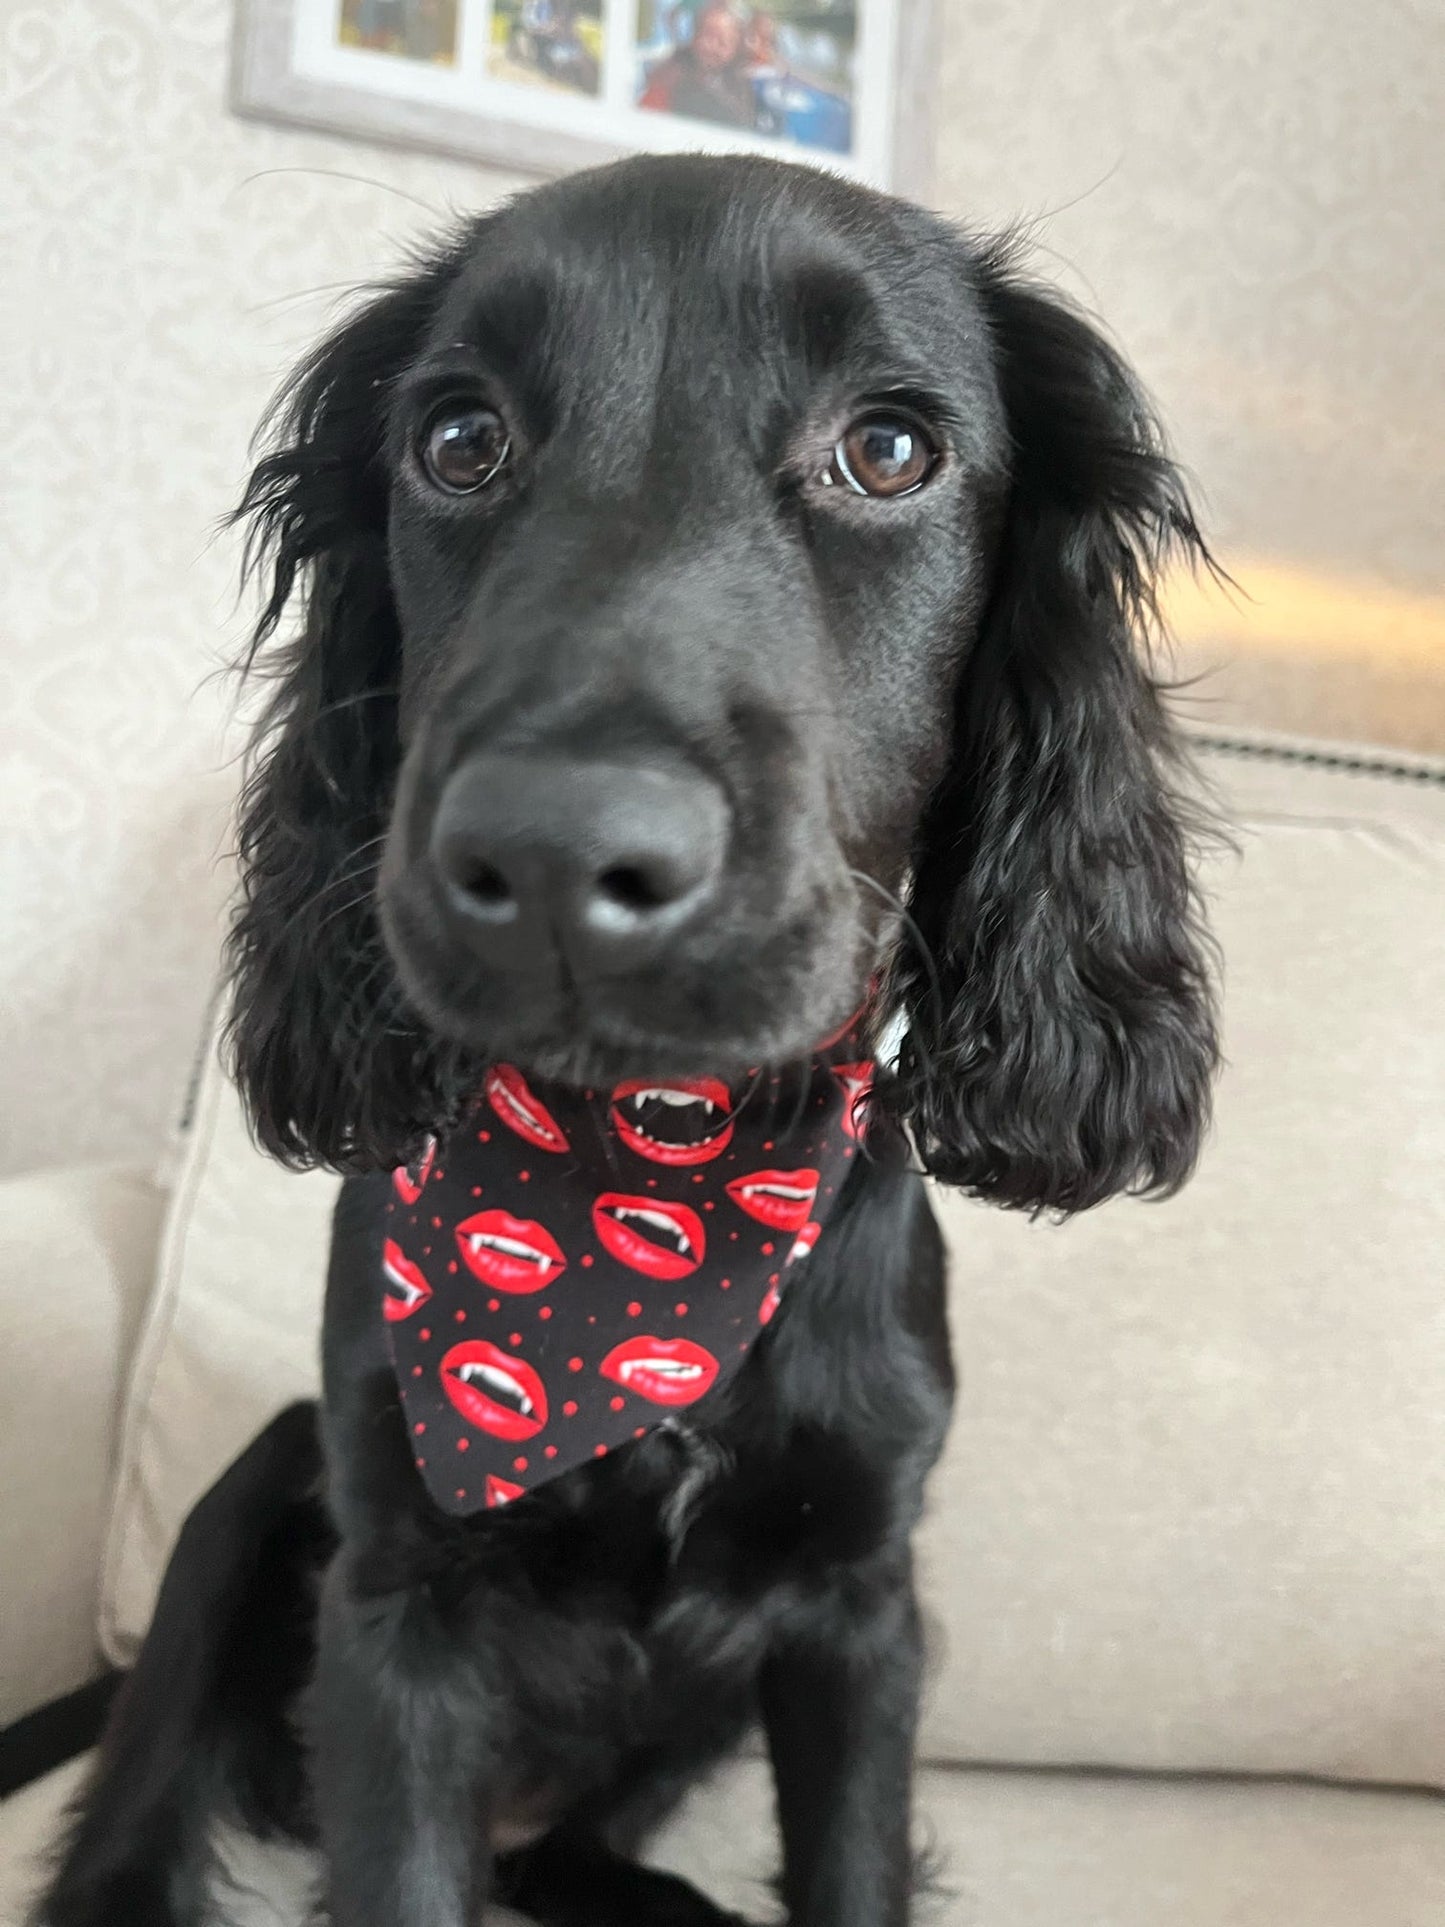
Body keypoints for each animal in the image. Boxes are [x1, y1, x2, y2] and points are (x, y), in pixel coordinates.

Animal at [39, 154, 1225, 1927]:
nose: (552, 856)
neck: (644, 1177)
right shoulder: (395, 1604)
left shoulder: (858, 1602)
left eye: (890, 448)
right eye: (458, 438)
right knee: (137, 1807)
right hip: (253, 1488)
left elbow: (854, 1859)